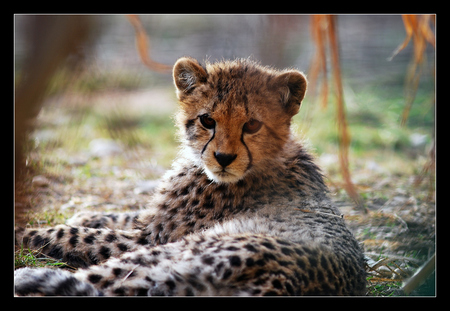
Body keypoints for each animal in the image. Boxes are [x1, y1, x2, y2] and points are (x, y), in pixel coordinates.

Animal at [14, 56, 366, 298]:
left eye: (252, 125)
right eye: (207, 120)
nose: (224, 158)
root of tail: (288, 282)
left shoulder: (150, 238)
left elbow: (74, 235)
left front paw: (27, 232)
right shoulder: (154, 222)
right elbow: (128, 212)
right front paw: (87, 213)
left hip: (168, 257)